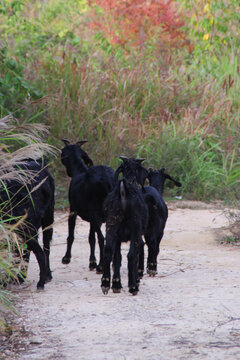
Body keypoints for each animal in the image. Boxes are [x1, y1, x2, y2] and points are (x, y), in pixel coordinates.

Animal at [60, 139, 114, 272]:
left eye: (62, 152)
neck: (79, 170)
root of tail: (107, 181)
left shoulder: (73, 210)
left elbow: (71, 235)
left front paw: (66, 258)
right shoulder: (93, 219)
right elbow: (91, 238)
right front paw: (92, 261)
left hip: (96, 213)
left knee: (102, 238)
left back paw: (101, 267)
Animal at [101, 157, 148, 296]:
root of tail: (122, 190)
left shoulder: (117, 237)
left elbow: (117, 257)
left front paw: (116, 283)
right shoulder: (137, 235)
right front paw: (135, 281)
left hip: (111, 225)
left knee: (107, 251)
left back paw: (105, 283)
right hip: (135, 229)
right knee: (131, 255)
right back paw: (133, 286)